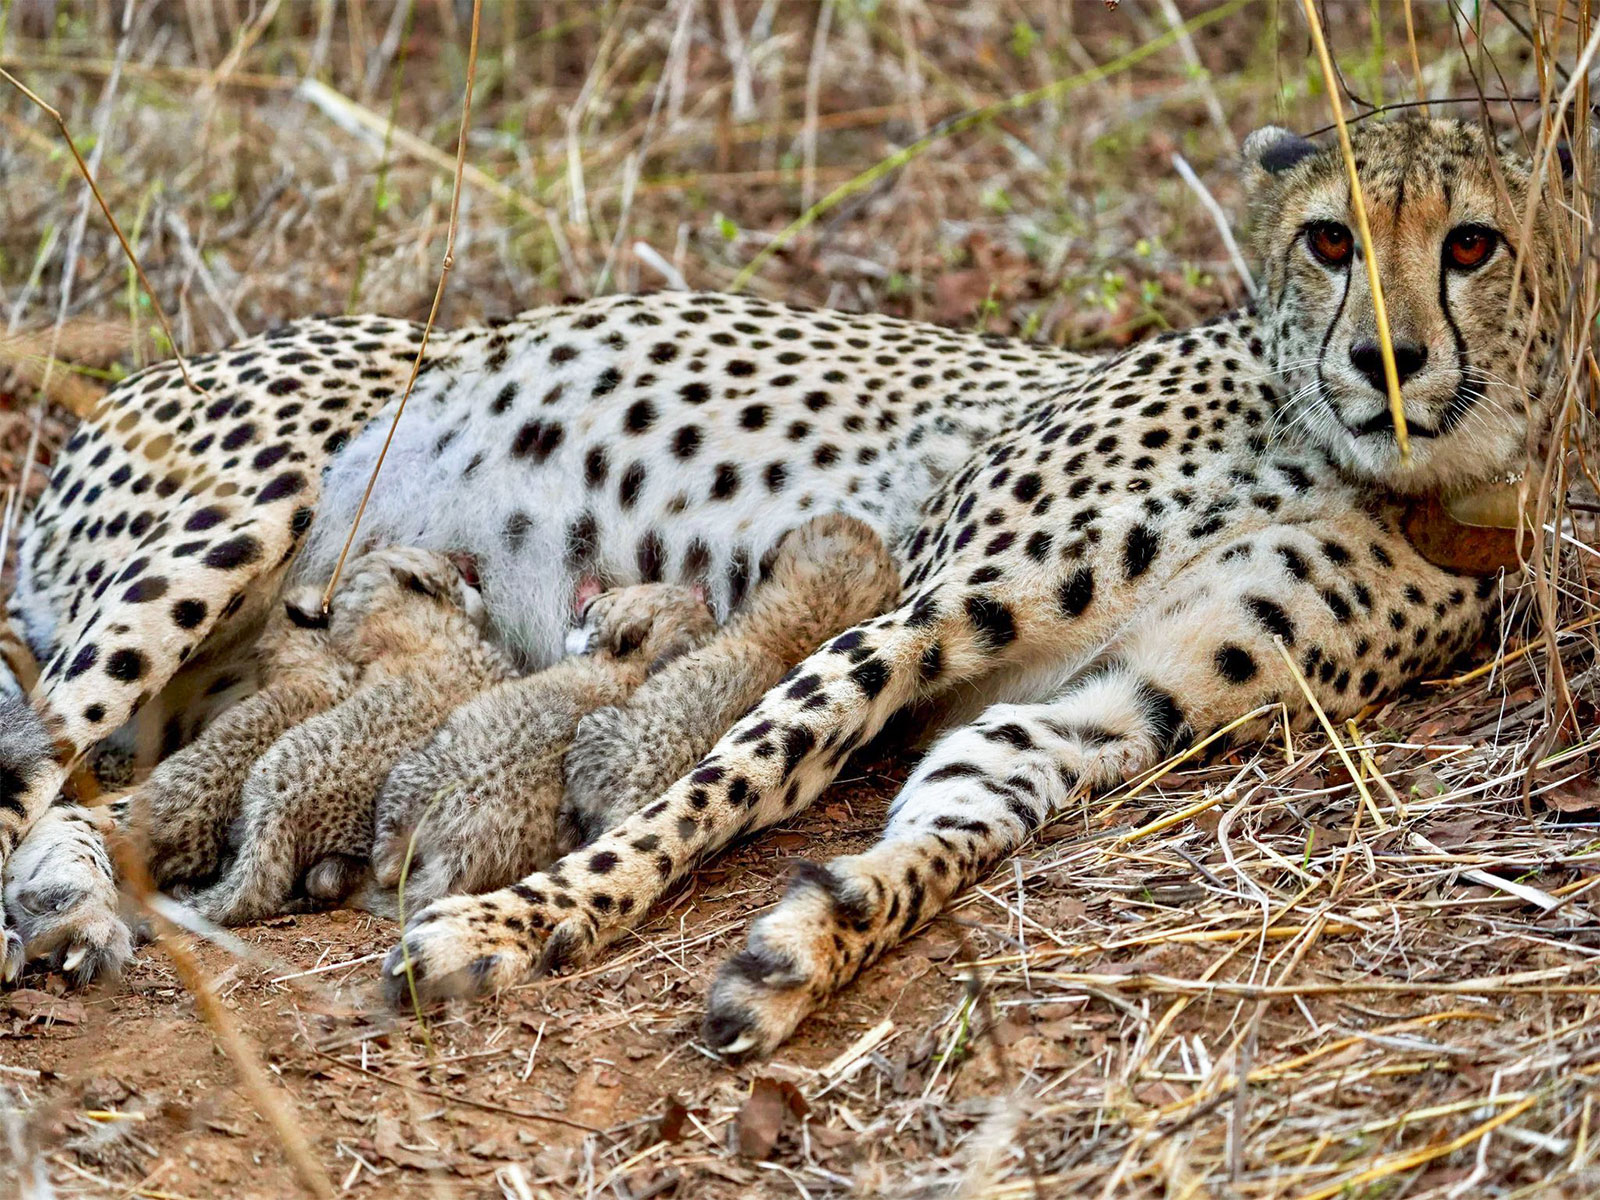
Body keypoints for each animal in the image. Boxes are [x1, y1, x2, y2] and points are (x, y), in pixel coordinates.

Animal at [0, 119, 1561, 1059]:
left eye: (1470, 244)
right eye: (1329, 240)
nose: (1386, 361)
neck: (1371, 469)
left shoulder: (1108, 708)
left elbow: (945, 825)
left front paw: (808, 945)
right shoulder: (913, 610)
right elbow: (727, 781)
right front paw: (526, 922)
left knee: (100, 792)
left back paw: (85, 904)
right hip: (222, 526)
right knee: (33, 762)